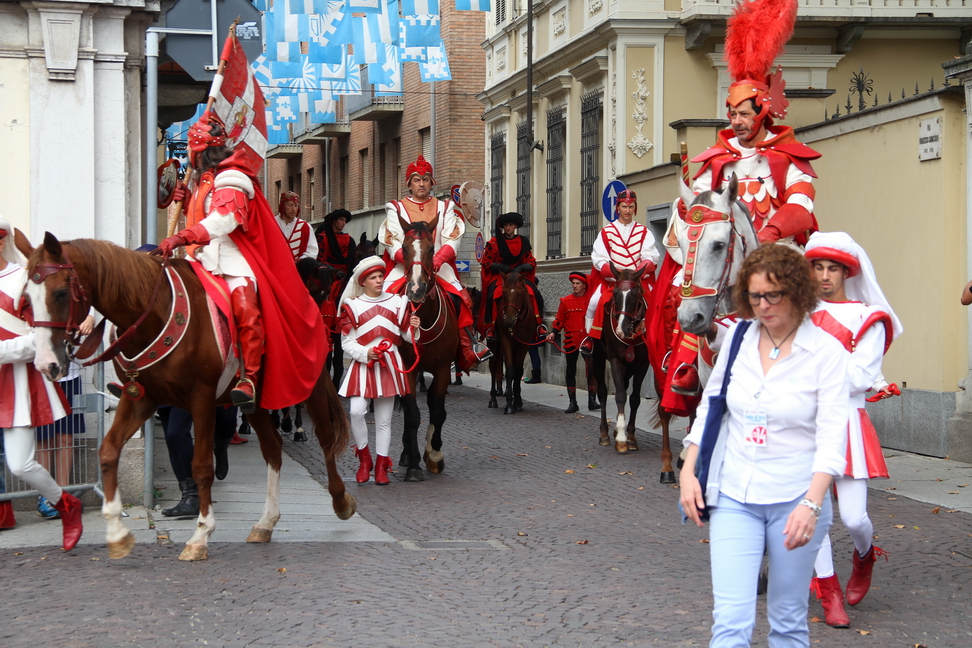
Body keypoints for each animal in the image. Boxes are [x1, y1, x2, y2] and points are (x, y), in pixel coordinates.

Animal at [22, 235, 356, 560]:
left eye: (61, 293)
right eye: (26, 298)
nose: (46, 364)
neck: (153, 311)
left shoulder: (202, 399)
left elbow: (201, 466)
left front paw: (201, 535)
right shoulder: (140, 399)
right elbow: (108, 452)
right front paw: (117, 533)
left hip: (309, 385)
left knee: (325, 438)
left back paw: (341, 501)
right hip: (255, 402)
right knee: (272, 448)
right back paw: (265, 522)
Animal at [394, 218, 460, 480]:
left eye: (432, 249)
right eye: (403, 247)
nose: (416, 289)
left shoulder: (442, 368)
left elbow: (438, 409)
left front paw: (434, 454)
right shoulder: (408, 367)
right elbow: (413, 414)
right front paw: (413, 465)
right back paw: (405, 455)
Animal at [490, 268, 536, 416]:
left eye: (520, 293)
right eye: (503, 292)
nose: (508, 321)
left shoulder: (525, 343)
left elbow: (518, 371)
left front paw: (517, 403)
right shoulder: (506, 341)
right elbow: (510, 371)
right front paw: (509, 405)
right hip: (493, 343)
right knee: (493, 367)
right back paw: (493, 399)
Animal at [592, 266, 652, 454]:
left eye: (635, 294)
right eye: (615, 293)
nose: (621, 330)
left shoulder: (642, 364)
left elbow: (634, 398)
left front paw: (630, 436)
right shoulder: (615, 361)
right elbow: (619, 396)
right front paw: (621, 438)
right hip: (597, 357)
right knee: (602, 392)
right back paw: (604, 434)